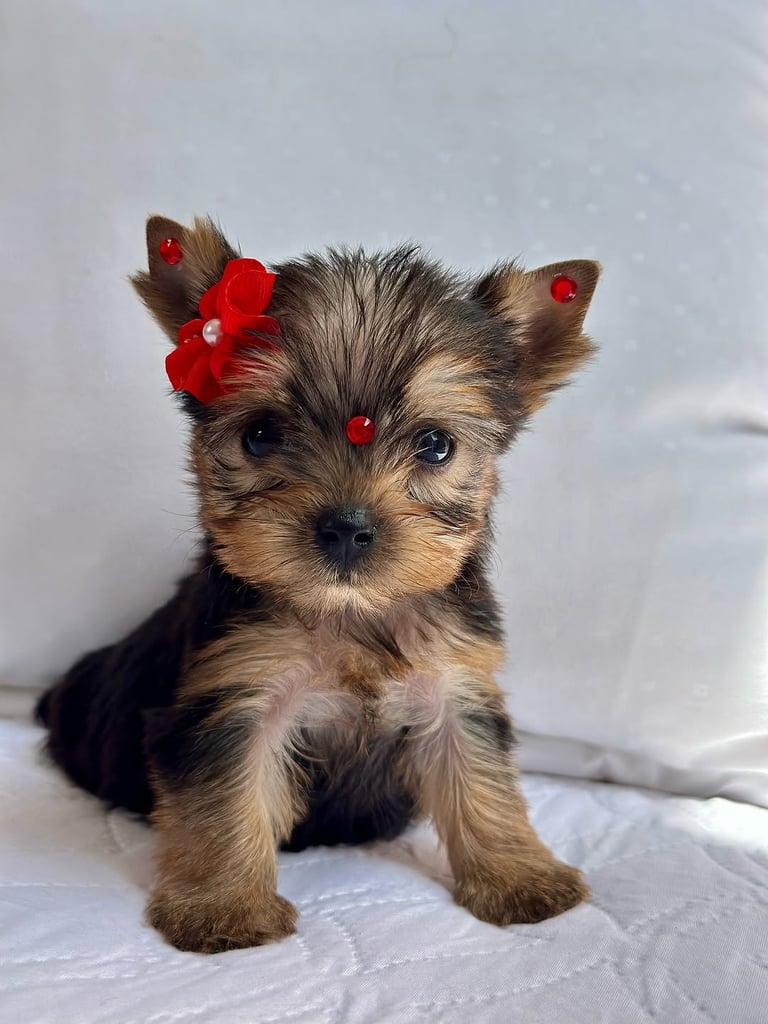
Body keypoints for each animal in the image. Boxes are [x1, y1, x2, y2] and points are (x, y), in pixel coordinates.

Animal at [37, 215, 600, 953]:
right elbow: (226, 799)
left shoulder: (455, 682)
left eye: (435, 445)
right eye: (261, 434)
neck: (351, 611)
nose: (345, 529)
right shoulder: (236, 693)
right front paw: (223, 909)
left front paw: (518, 875)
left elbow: (481, 778)